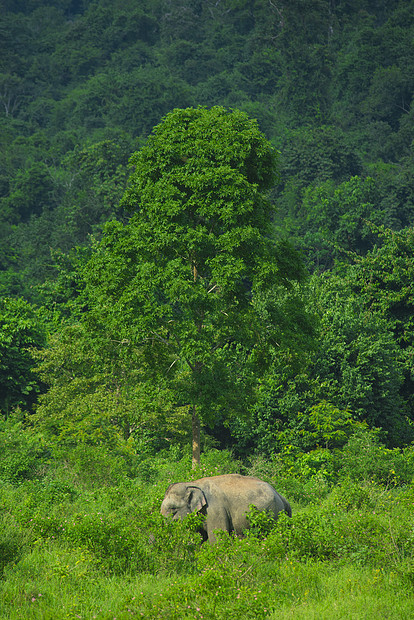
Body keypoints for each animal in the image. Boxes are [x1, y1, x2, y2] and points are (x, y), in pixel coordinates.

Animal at [158, 474, 292, 544]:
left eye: (173, 509)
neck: (192, 483)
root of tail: (280, 495)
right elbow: (198, 537)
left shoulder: (214, 510)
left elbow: (217, 538)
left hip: (272, 513)